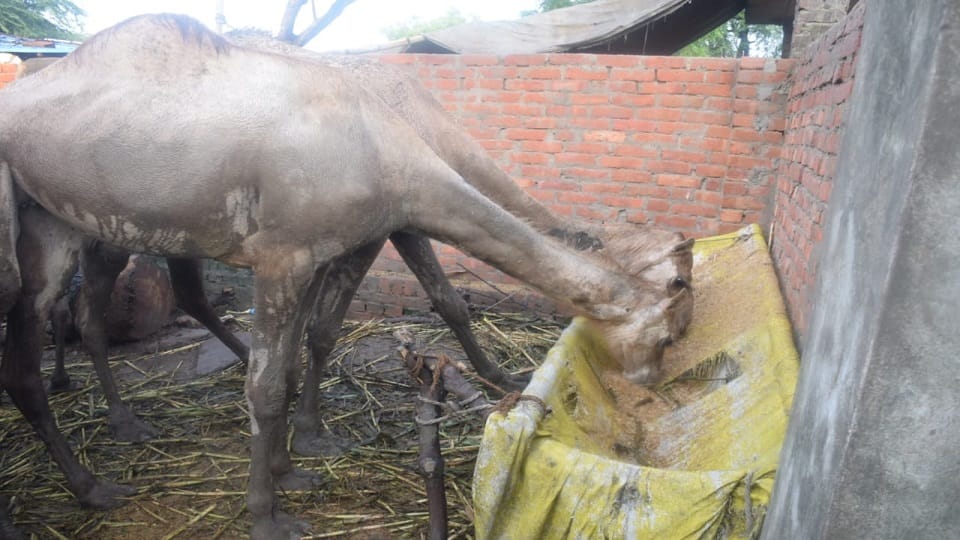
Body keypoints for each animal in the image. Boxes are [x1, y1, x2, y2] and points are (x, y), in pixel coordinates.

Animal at [0, 15, 689, 539]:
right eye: (669, 333)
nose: (650, 390)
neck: (393, 144)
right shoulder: (291, 253)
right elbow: (273, 381)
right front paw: (269, 515)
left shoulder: (332, 245)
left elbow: (300, 355)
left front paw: (293, 463)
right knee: (47, 340)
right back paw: (98, 471)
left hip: (61, 217)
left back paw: (97, 468)